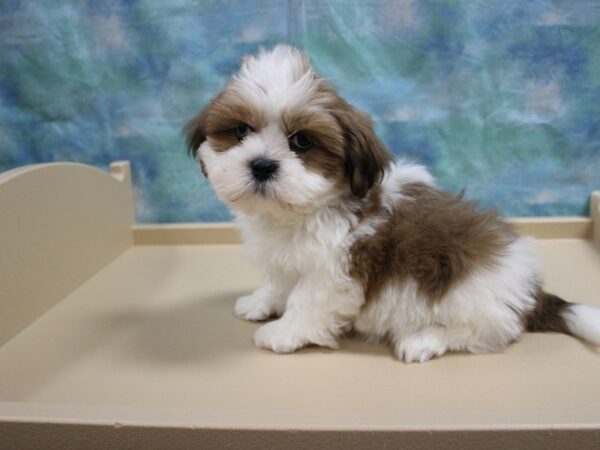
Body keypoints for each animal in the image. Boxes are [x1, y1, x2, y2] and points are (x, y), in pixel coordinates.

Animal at [186, 45, 600, 362]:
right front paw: (263, 301)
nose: (261, 165)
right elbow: (280, 280)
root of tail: (530, 291)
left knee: (492, 330)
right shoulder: (287, 257)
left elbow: (308, 299)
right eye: (240, 131)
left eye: (301, 141)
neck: (302, 212)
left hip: (471, 293)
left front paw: (284, 332)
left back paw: (424, 338)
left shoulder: (335, 268)